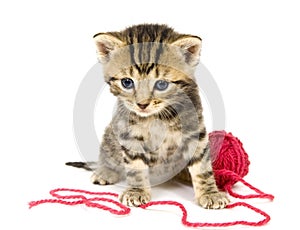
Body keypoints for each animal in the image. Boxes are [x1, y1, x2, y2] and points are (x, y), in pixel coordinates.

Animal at [67, 24, 229, 209]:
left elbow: (202, 165)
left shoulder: (195, 129)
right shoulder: (128, 132)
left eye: (162, 84)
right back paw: (105, 171)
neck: (158, 117)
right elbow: (135, 165)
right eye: (127, 82)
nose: (142, 104)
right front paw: (136, 191)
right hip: (111, 134)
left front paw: (210, 193)